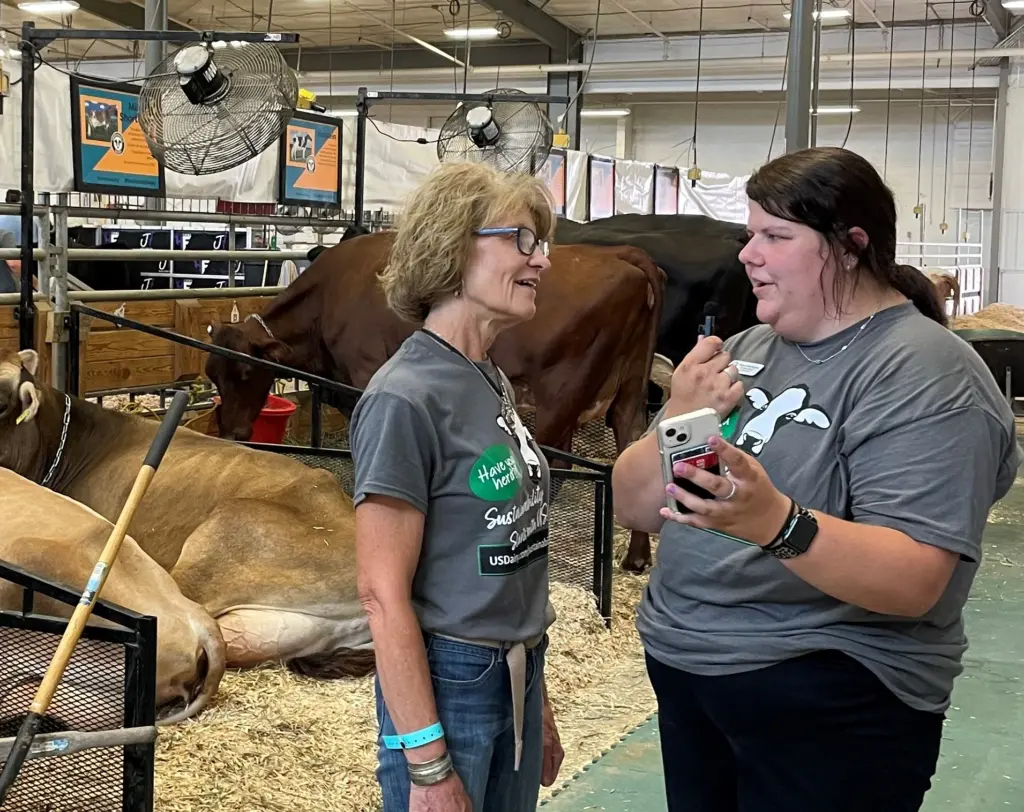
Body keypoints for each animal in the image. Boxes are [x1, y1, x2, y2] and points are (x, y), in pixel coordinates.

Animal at [206, 229, 667, 569]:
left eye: (244, 372)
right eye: (213, 375)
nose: (230, 432)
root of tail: (623, 255)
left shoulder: (365, 378)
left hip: (561, 392)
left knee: (556, 465)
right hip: (628, 390)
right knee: (632, 443)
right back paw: (637, 556)